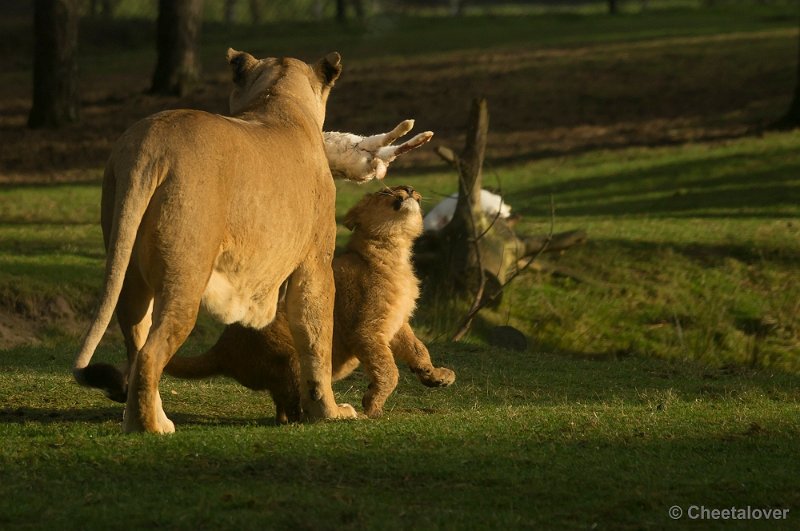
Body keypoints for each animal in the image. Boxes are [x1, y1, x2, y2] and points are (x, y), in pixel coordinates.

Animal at [73, 50, 360, 434]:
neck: (278, 100)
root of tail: (149, 145)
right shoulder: (314, 265)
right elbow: (316, 341)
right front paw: (329, 411)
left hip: (129, 268)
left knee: (136, 342)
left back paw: (148, 417)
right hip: (186, 273)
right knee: (151, 350)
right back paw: (150, 427)